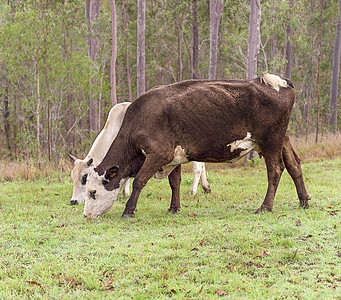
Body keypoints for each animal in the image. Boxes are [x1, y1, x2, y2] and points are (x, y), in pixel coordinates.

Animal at [67, 102, 209, 204]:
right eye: (72, 176)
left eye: (84, 177)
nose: (73, 201)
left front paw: (124, 193)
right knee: (202, 166)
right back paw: (206, 187)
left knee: (197, 168)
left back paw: (193, 191)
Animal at [83, 72, 310, 218]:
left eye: (92, 192)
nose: (85, 215)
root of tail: (280, 83)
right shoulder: (174, 157)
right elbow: (175, 182)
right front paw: (174, 208)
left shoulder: (158, 154)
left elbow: (139, 180)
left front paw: (128, 210)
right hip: (283, 139)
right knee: (294, 166)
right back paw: (304, 201)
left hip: (271, 142)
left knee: (276, 170)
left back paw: (265, 207)